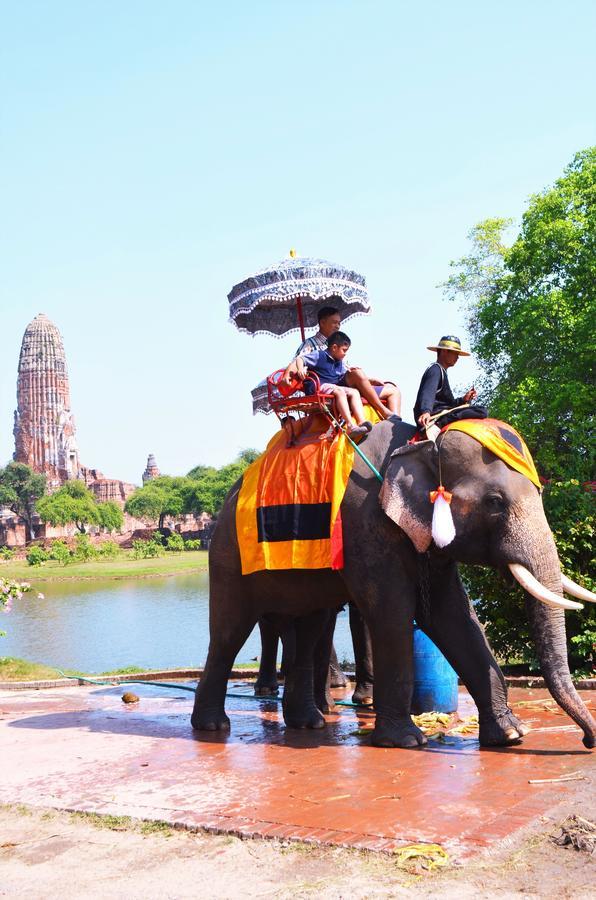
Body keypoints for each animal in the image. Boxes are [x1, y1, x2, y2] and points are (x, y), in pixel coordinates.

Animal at [193, 422, 592, 752]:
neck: (421, 444)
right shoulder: (365, 523)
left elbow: (453, 616)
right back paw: (213, 727)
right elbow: (392, 613)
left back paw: (308, 723)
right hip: (228, 554)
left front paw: (511, 735)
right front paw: (405, 742)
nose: (588, 741)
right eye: (495, 502)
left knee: (311, 626)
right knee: (230, 630)